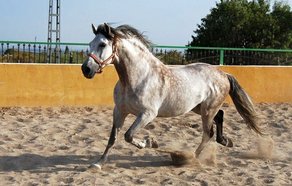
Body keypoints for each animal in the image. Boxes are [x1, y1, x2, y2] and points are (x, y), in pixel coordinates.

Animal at [80, 22, 262, 169]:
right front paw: (98, 163)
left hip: (207, 110)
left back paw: (191, 158)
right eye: (90, 43)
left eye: (102, 44)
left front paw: (150, 143)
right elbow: (113, 138)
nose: (86, 69)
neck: (136, 78)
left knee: (208, 133)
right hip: (199, 108)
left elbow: (128, 135)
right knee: (220, 116)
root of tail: (224, 74)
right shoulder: (119, 111)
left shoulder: (148, 114)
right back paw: (225, 141)